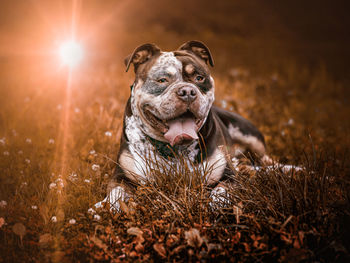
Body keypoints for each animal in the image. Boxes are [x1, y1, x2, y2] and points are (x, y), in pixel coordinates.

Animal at [95, 40, 268, 211]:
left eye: (199, 78)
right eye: (162, 80)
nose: (187, 91)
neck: (173, 148)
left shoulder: (229, 176)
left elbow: (222, 191)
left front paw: (216, 204)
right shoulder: (121, 176)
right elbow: (116, 193)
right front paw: (108, 206)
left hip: (249, 136)